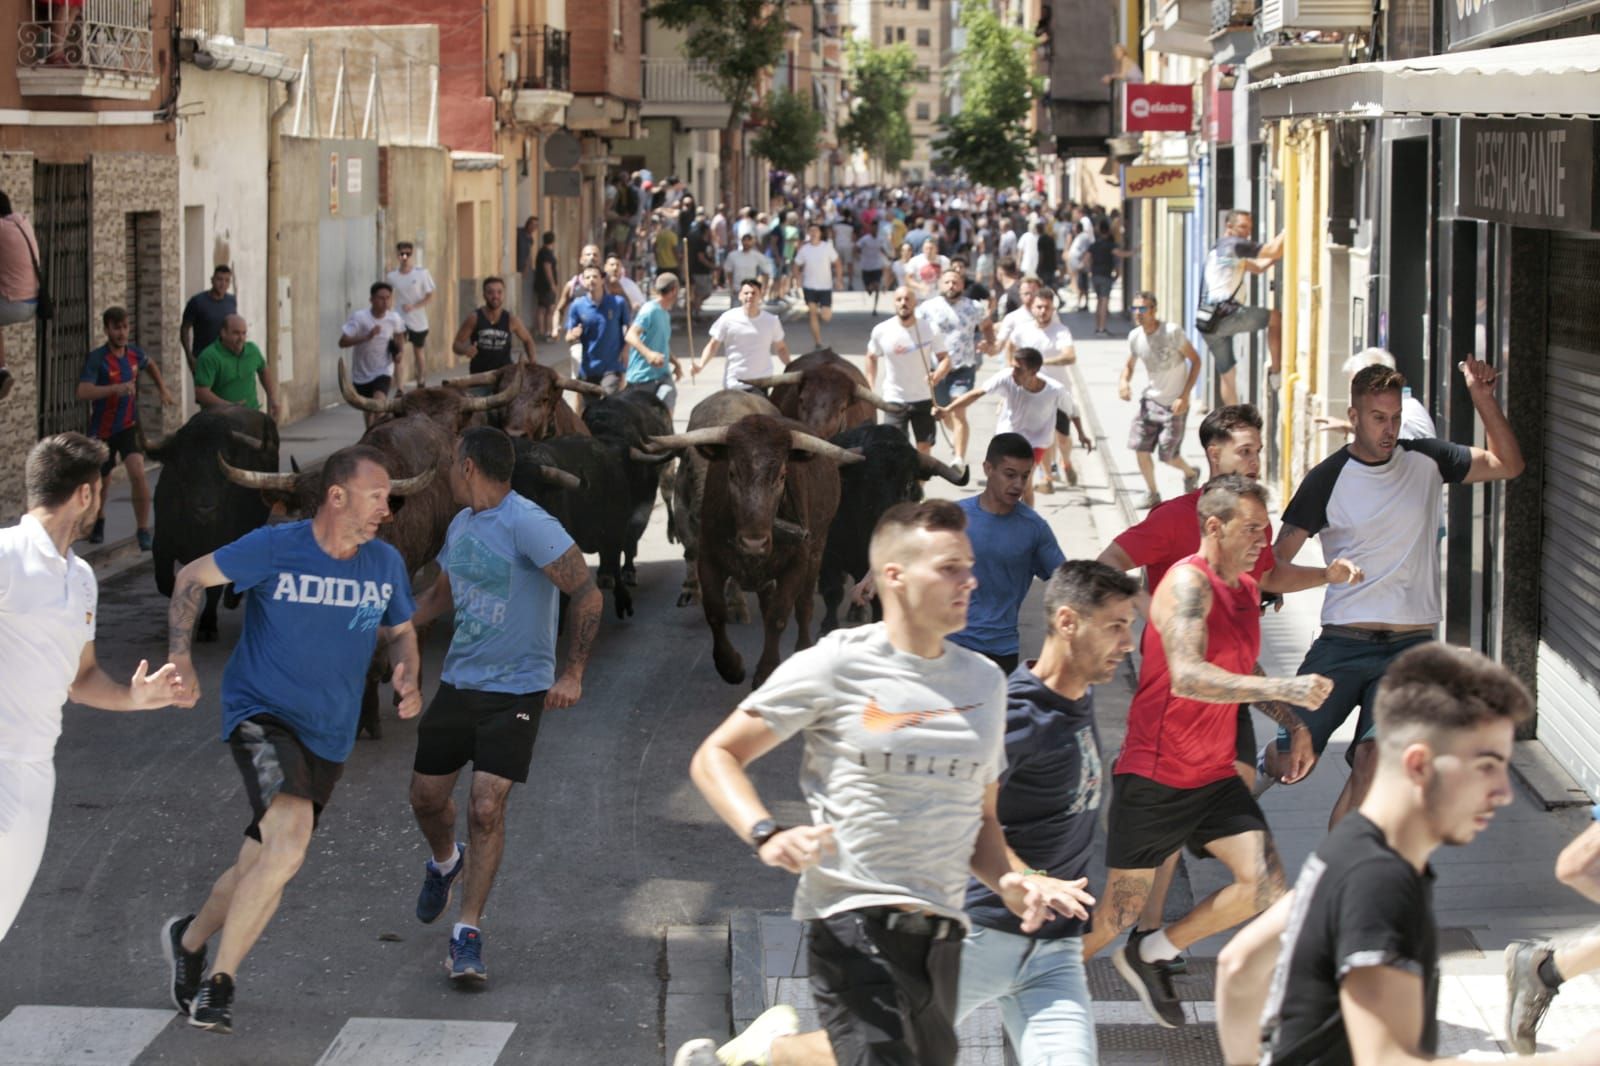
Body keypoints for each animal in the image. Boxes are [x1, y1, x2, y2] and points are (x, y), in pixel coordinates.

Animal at [649, 409, 864, 685]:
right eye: (731, 473)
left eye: (782, 476)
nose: (754, 543)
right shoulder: (708, 559)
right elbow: (715, 612)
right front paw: (730, 666)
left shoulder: (797, 564)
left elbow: (779, 616)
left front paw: (766, 670)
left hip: (817, 549)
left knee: (804, 605)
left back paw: (803, 647)